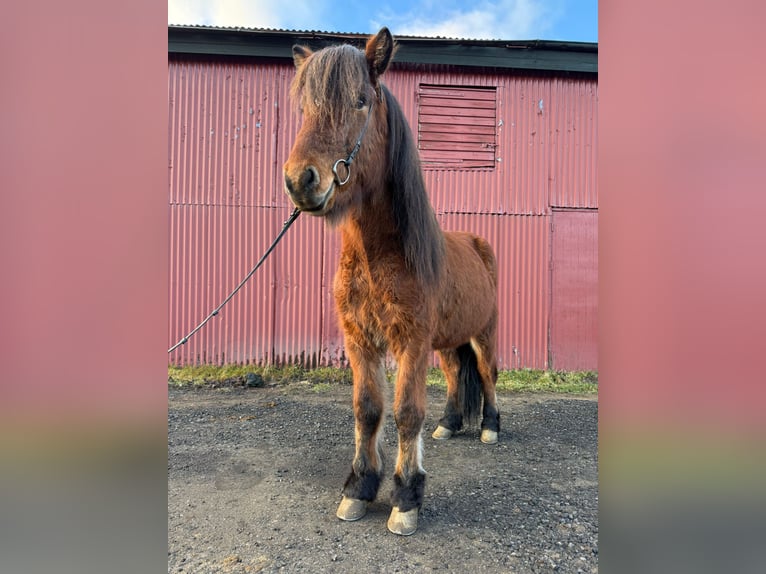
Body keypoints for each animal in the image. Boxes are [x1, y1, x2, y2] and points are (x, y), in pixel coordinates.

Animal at [283, 27, 500, 536]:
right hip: (448, 343)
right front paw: (359, 488)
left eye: (361, 101)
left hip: (482, 335)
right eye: (305, 107)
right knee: (456, 376)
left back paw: (490, 428)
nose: (301, 180)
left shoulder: (410, 342)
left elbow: (406, 413)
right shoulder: (360, 340)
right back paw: (450, 424)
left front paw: (406, 497)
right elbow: (368, 410)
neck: (378, 256)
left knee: (486, 374)